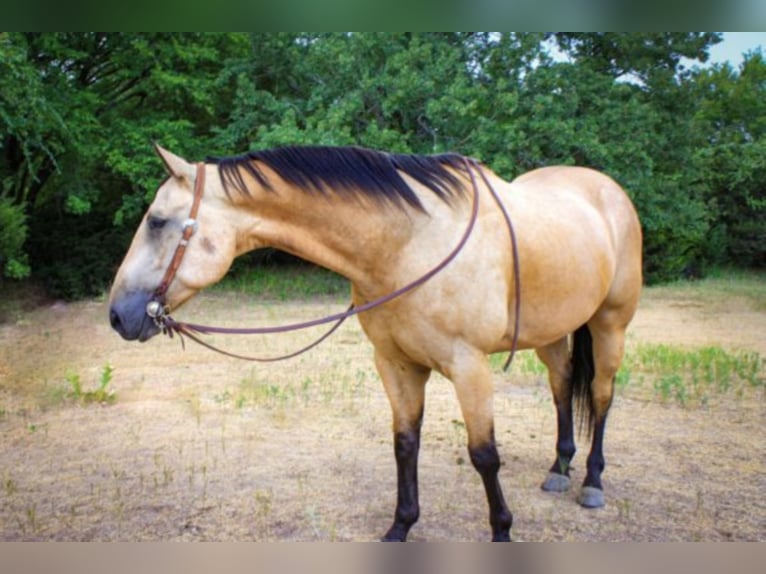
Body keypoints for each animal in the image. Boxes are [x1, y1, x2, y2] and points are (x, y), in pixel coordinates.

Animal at [108, 145, 644, 544]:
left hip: (610, 325)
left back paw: (591, 482)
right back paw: (559, 467)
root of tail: (609, 191)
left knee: (601, 397)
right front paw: (400, 527)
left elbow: (484, 454)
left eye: (157, 221)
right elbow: (405, 445)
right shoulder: (395, 363)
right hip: (551, 333)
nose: (117, 315)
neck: (408, 244)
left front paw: (502, 530)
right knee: (561, 388)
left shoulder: (469, 366)